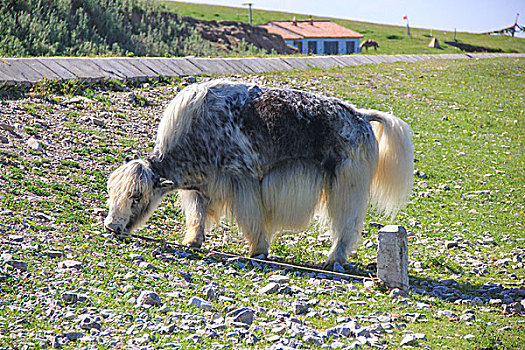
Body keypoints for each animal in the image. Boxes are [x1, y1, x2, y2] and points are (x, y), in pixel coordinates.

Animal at [104, 78, 412, 266]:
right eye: (112, 193)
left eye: (136, 197)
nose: (112, 227)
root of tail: (361, 116)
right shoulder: (202, 187)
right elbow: (198, 214)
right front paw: (192, 241)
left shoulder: (242, 181)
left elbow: (251, 217)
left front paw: (258, 250)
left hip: (346, 186)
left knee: (347, 223)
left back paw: (333, 259)